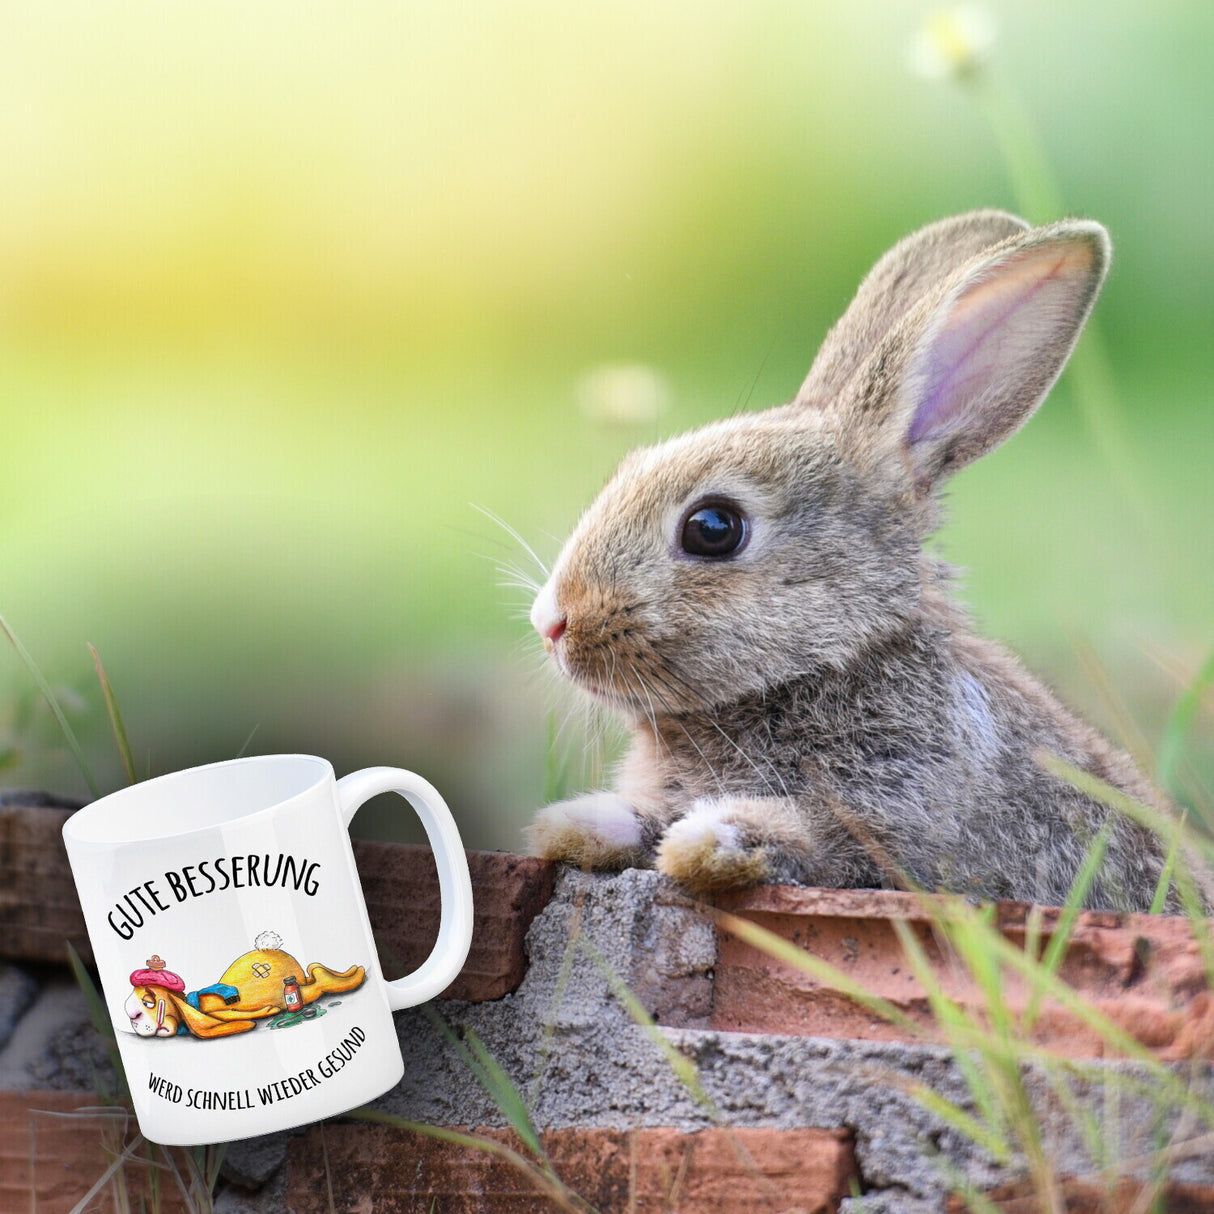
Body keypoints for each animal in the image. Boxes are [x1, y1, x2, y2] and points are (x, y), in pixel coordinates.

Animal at [524, 209, 1180, 912]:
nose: (552, 622)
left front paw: (711, 840)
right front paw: (575, 824)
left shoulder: (898, 824)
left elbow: (815, 841)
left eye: (713, 528)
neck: (828, 663)